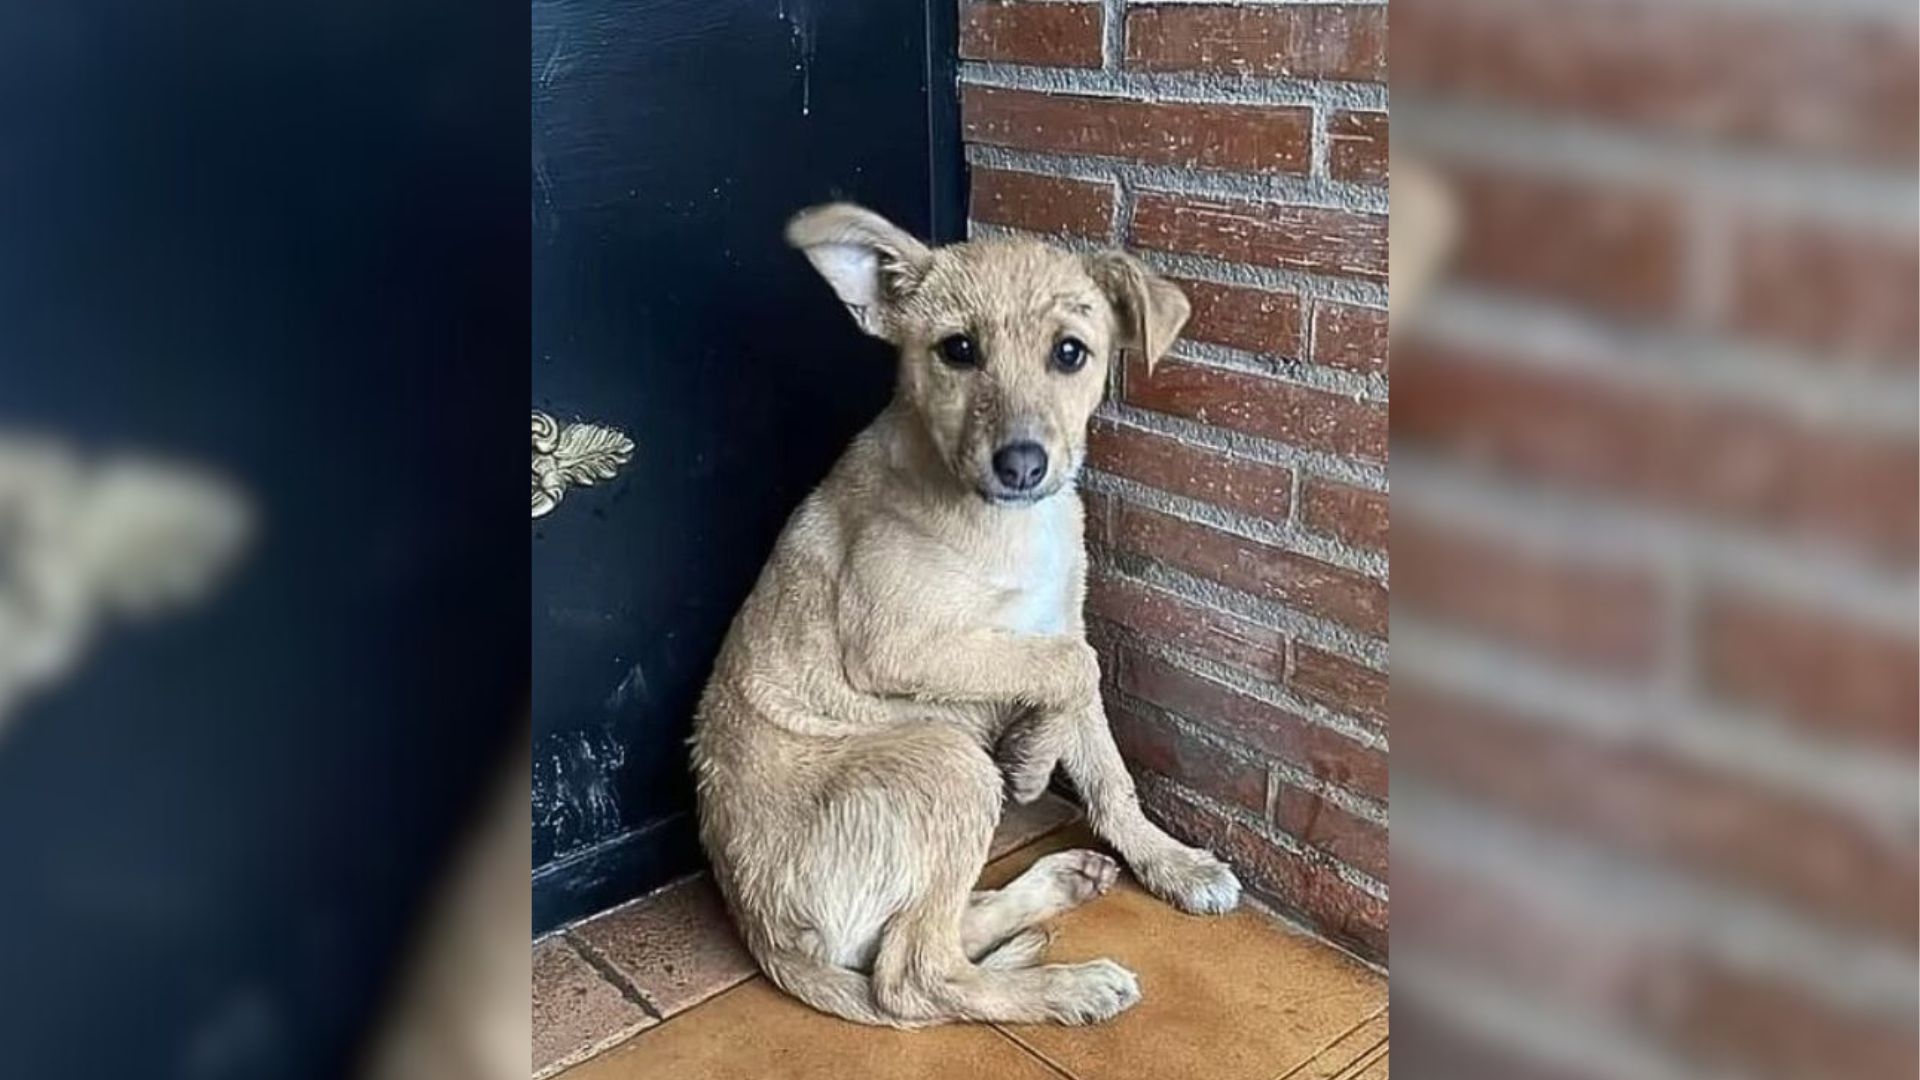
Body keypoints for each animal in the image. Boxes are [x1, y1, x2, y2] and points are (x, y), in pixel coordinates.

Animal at [695, 203, 1244, 1022]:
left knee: (931, 932)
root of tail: (762, 930)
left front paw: (1168, 860)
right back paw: (1067, 986)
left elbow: (1105, 762)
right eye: (958, 351)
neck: (1007, 522)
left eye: (1071, 353)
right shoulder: (899, 644)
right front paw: (1032, 762)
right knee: (913, 974)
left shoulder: (1056, 622)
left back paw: (1058, 886)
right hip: (947, 763)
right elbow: (1074, 669)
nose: (1022, 465)